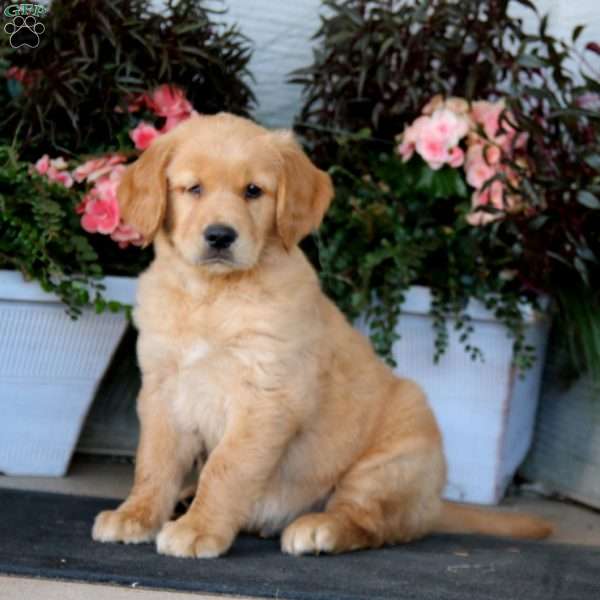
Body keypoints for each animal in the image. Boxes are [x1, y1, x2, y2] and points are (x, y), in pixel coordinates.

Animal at [92, 112, 552, 556]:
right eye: (193, 188)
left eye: (254, 191)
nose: (220, 236)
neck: (213, 295)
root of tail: (434, 502)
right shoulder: (162, 389)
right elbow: (153, 462)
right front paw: (136, 516)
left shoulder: (265, 398)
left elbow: (227, 468)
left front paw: (199, 529)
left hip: (388, 462)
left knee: (368, 521)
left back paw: (317, 529)